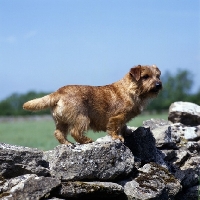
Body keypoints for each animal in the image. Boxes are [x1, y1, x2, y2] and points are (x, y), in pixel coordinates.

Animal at [23, 65, 162, 145]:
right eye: (145, 76)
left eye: (158, 76)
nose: (158, 84)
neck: (130, 90)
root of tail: (58, 92)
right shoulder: (117, 117)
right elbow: (114, 127)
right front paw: (117, 137)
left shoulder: (123, 119)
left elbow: (123, 126)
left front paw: (127, 132)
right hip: (82, 118)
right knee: (75, 131)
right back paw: (86, 140)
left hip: (62, 121)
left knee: (58, 133)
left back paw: (67, 143)